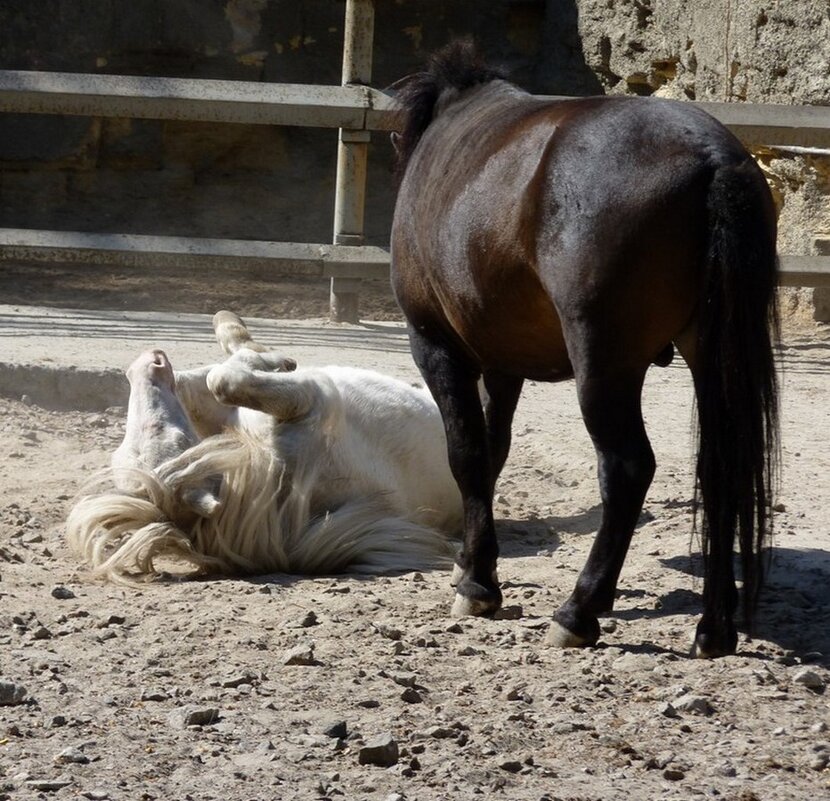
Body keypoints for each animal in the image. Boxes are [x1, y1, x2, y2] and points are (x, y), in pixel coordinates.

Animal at [68, 310, 464, 580]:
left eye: (167, 431)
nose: (150, 361)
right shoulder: (309, 398)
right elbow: (223, 376)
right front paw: (268, 355)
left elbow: (211, 378)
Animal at [390, 40, 780, 656]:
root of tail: (713, 158)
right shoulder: (503, 364)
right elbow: (494, 450)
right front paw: (471, 563)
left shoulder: (435, 346)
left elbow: (467, 454)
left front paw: (478, 585)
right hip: (709, 357)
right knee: (720, 470)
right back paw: (714, 627)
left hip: (604, 366)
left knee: (626, 468)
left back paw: (579, 611)